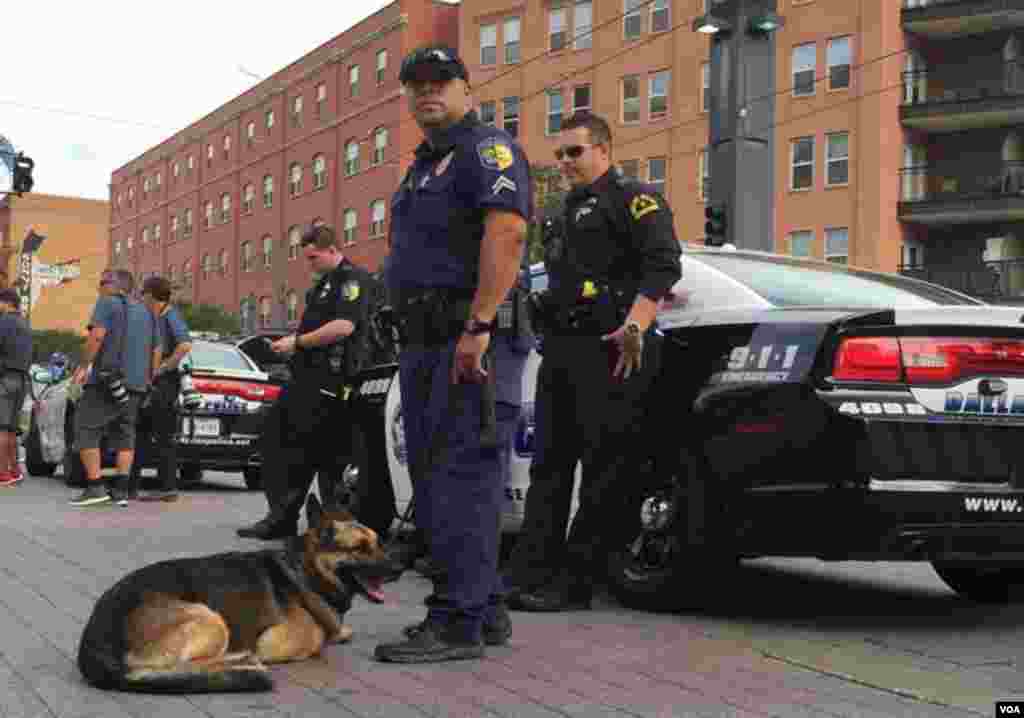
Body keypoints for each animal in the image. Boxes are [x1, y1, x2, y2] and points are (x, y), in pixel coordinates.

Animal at [75, 495, 401, 692]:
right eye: (360, 548)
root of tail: (93, 643)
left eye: (378, 542)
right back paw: (243, 663)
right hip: (209, 618)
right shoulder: (278, 642)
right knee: (173, 667)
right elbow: (324, 639)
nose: (399, 568)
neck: (306, 570)